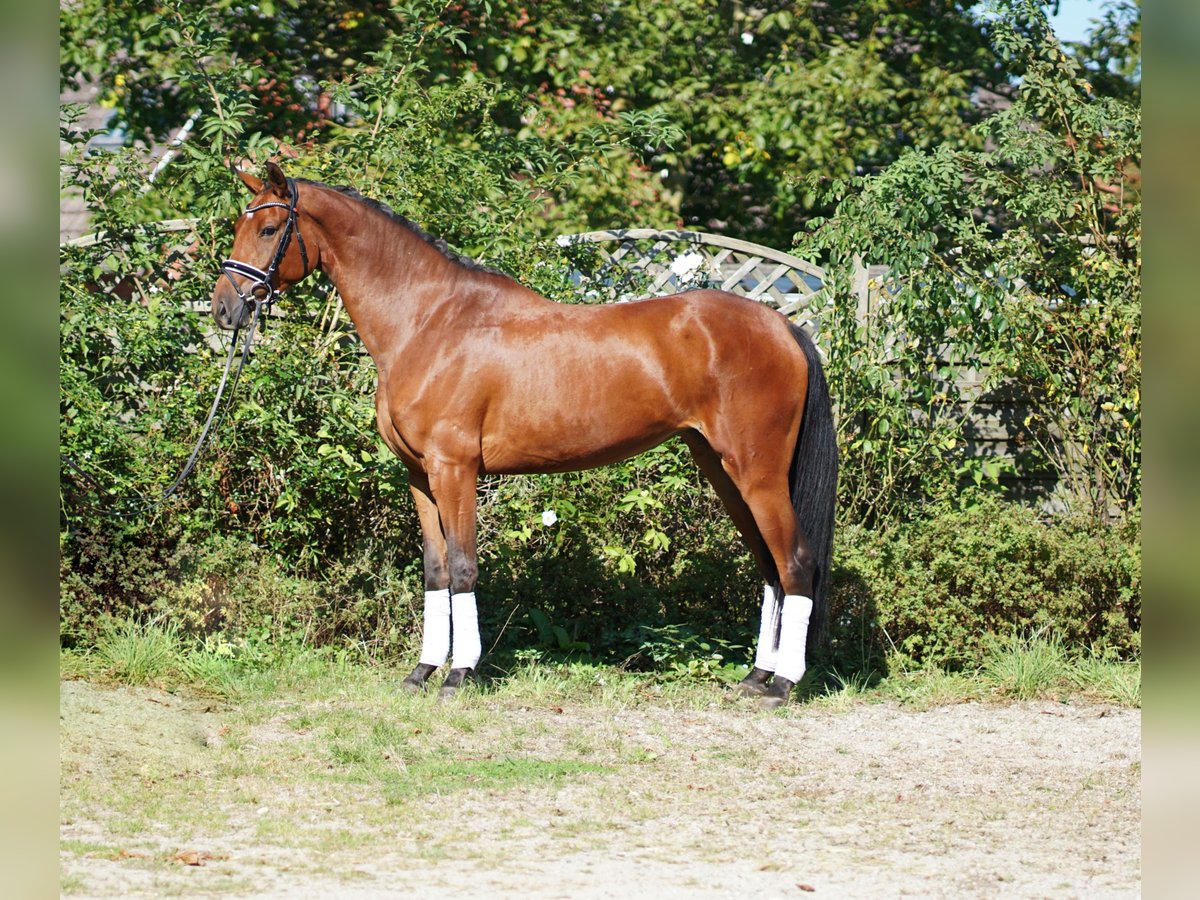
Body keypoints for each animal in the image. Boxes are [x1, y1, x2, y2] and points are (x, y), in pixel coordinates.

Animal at [213, 162, 835, 710]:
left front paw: (459, 675)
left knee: (795, 561)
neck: (428, 322)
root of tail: (782, 325)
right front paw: (422, 671)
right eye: (240, 226)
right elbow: (436, 570)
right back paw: (756, 676)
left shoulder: (455, 469)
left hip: (757, 473)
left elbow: (464, 567)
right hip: (721, 469)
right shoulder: (419, 476)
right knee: (769, 565)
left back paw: (783, 685)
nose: (224, 309)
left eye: (268, 229)